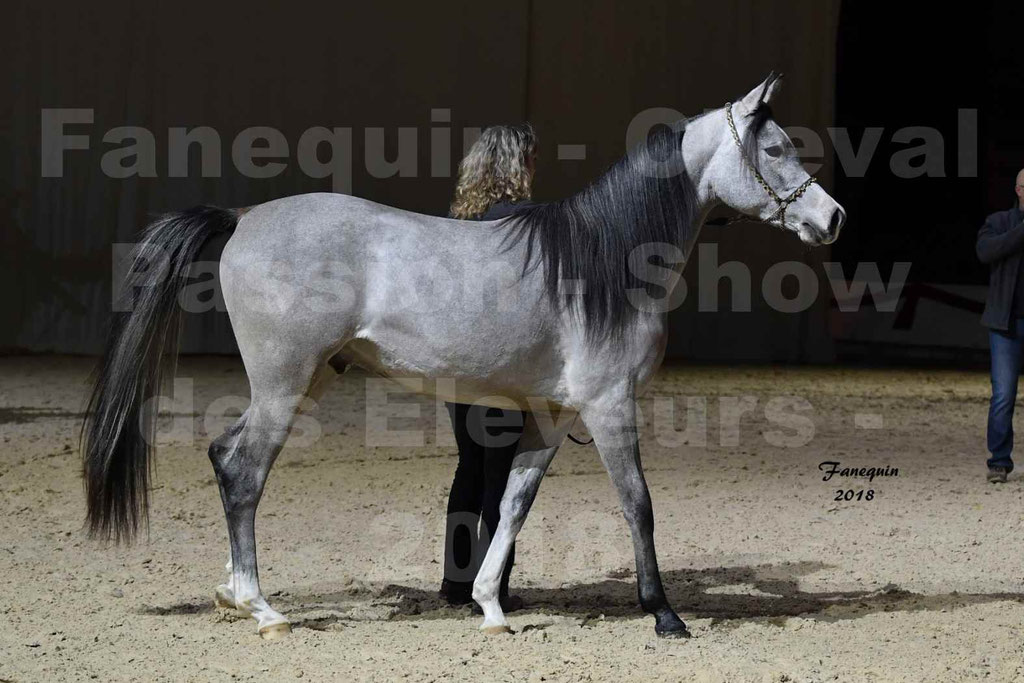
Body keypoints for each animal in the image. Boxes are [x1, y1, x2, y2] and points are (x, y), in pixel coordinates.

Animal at [82, 73, 845, 640]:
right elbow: (638, 504)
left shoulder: (553, 414)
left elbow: (512, 504)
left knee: (222, 454)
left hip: (303, 381)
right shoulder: (609, 407)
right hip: (283, 384)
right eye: (777, 148)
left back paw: (231, 592)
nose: (833, 218)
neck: (604, 262)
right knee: (243, 471)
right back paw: (262, 608)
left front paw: (491, 606)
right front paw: (664, 614)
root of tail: (243, 219)